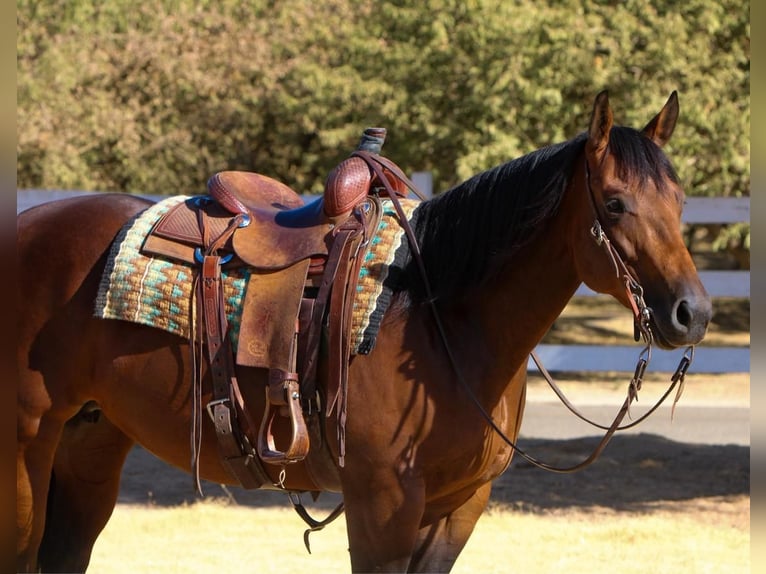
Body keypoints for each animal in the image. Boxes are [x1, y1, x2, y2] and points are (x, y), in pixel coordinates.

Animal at [16, 90, 712, 572]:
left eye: (680, 201)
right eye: (615, 204)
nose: (693, 314)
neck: (438, 318)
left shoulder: (457, 510)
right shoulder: (383, 507)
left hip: (91, 445)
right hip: (24, 448)